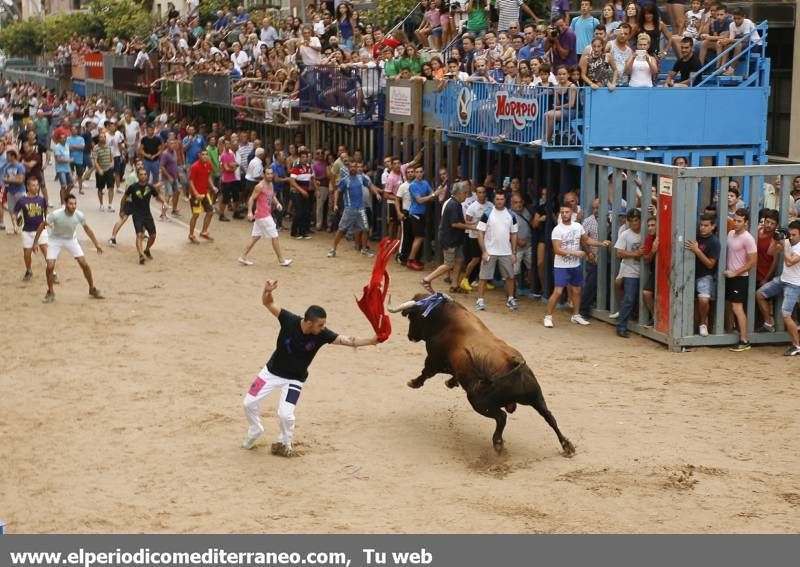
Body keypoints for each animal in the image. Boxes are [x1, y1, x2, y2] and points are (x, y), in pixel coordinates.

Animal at [390, 296, 572, 454]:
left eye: (411, 317)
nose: (410, 336)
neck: (445, 320)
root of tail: (513, 363)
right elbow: (451, 374)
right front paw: (451, 382)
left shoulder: (434, 359)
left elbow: (426, 372)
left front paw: (414, 382)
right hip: (536, 397)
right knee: (549, 417)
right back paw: (567, 445)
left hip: (479, 402)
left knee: (502, 417)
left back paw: (498, 443)